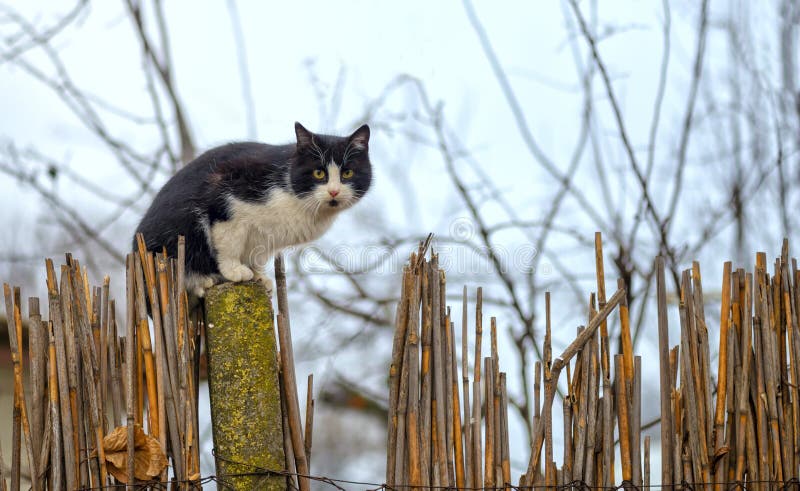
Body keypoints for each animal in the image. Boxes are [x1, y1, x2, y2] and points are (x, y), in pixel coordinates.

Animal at [134, 123, 372, 298]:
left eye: (348, 173)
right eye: (318, 173)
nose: (334, 191)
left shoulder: (265, 237)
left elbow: (257, 254)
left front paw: (259, 276)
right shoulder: (226, 191)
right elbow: (229, 241)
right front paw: (234, 271)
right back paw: (203, 280)